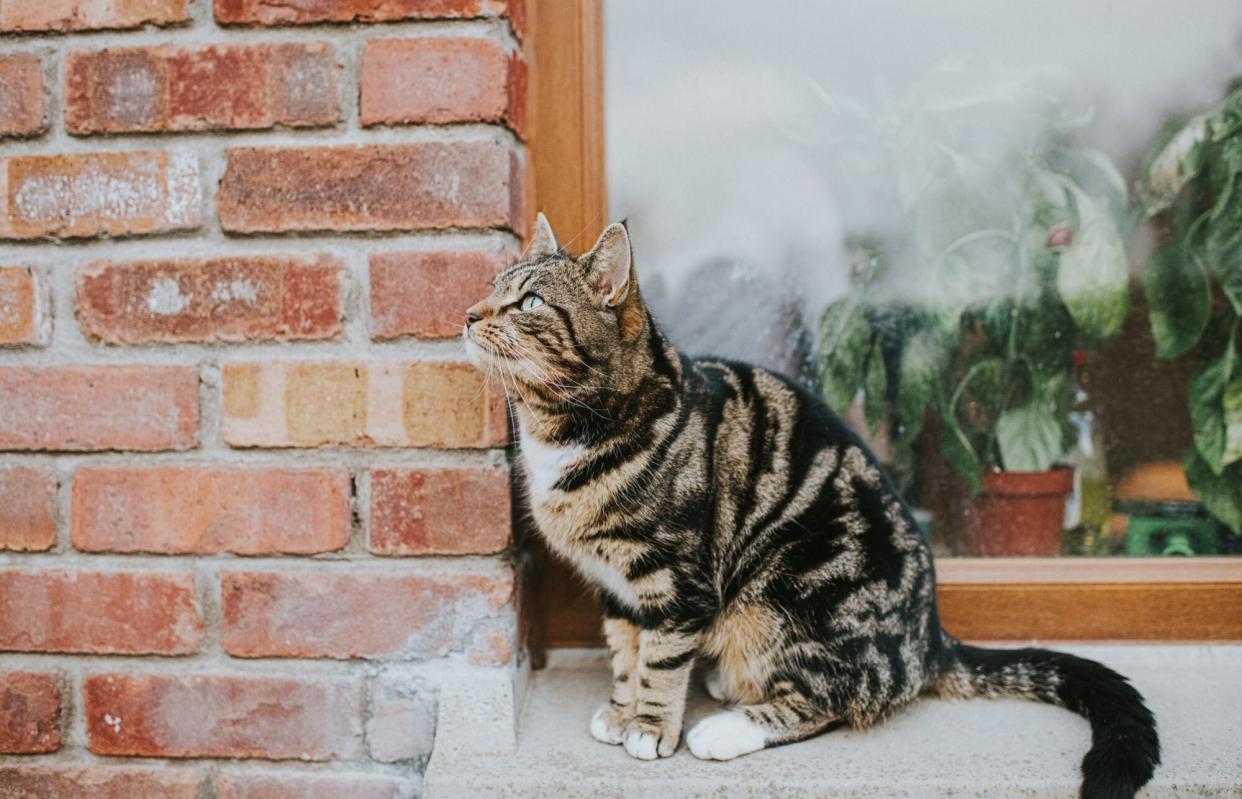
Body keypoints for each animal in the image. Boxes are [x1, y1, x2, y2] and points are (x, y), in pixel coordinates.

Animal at [462, 213, 1157, 799]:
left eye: (529, 303)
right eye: (493, 287)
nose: (469, 314)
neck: (568, 430)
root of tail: (931, 641)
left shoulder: (678, 582)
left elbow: (659, 660)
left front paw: (650, 727)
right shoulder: (616, 586)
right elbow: (625, 653)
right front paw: (621, 708)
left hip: (784, 590)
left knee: (830, 699)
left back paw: (728, 726)